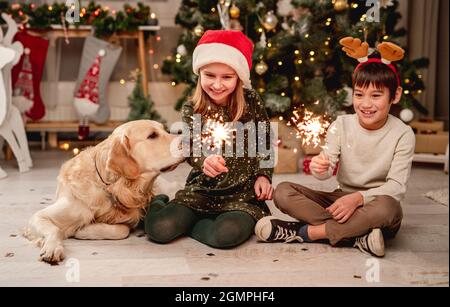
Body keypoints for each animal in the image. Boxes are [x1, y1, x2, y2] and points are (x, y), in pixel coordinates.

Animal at [22, 120, 185, 264]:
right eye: (152, 135)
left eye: (165, 130)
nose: (188, 141)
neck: (111, 188)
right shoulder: (40, 216)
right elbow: (54, 229)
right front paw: (53, 248)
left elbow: (122, 229)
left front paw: (83, 230)